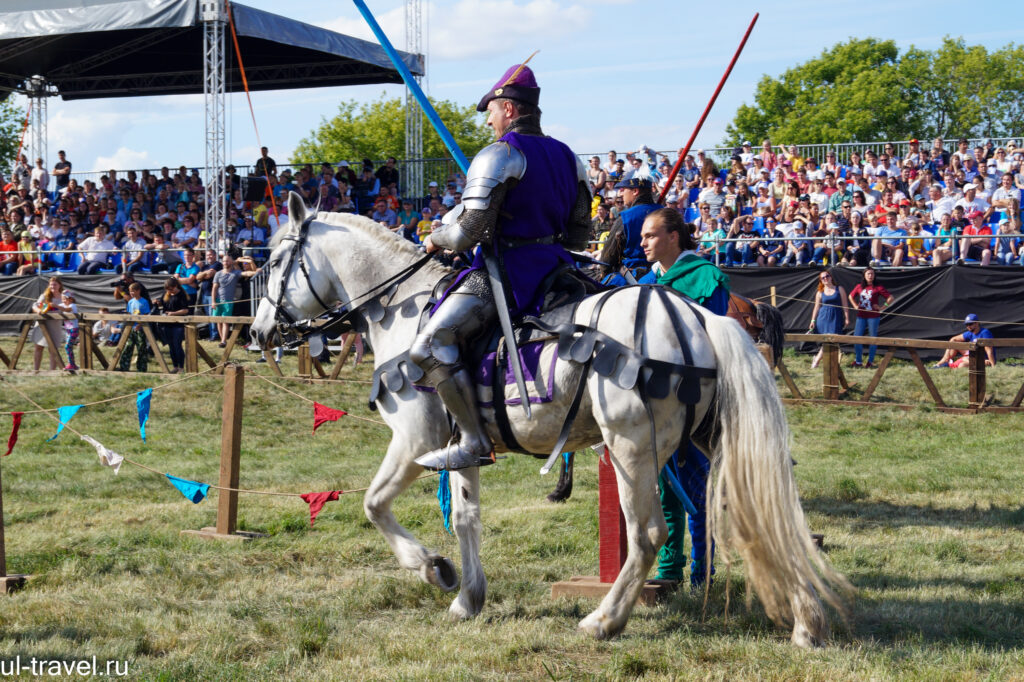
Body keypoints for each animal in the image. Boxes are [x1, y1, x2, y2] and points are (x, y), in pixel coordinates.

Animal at [249, 192, 847, 643]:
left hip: (632, 448)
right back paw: (807, 624)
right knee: (765, 515)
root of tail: (701, 319)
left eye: (276, 264)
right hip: (709, 440)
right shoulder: (462, 447)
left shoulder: (415, 439)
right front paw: (469, 597)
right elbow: (465, 517)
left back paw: (604, 620)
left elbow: (374, 504)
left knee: (649, 532)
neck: (403, 304)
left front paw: (433, 568)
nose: (258, 332)